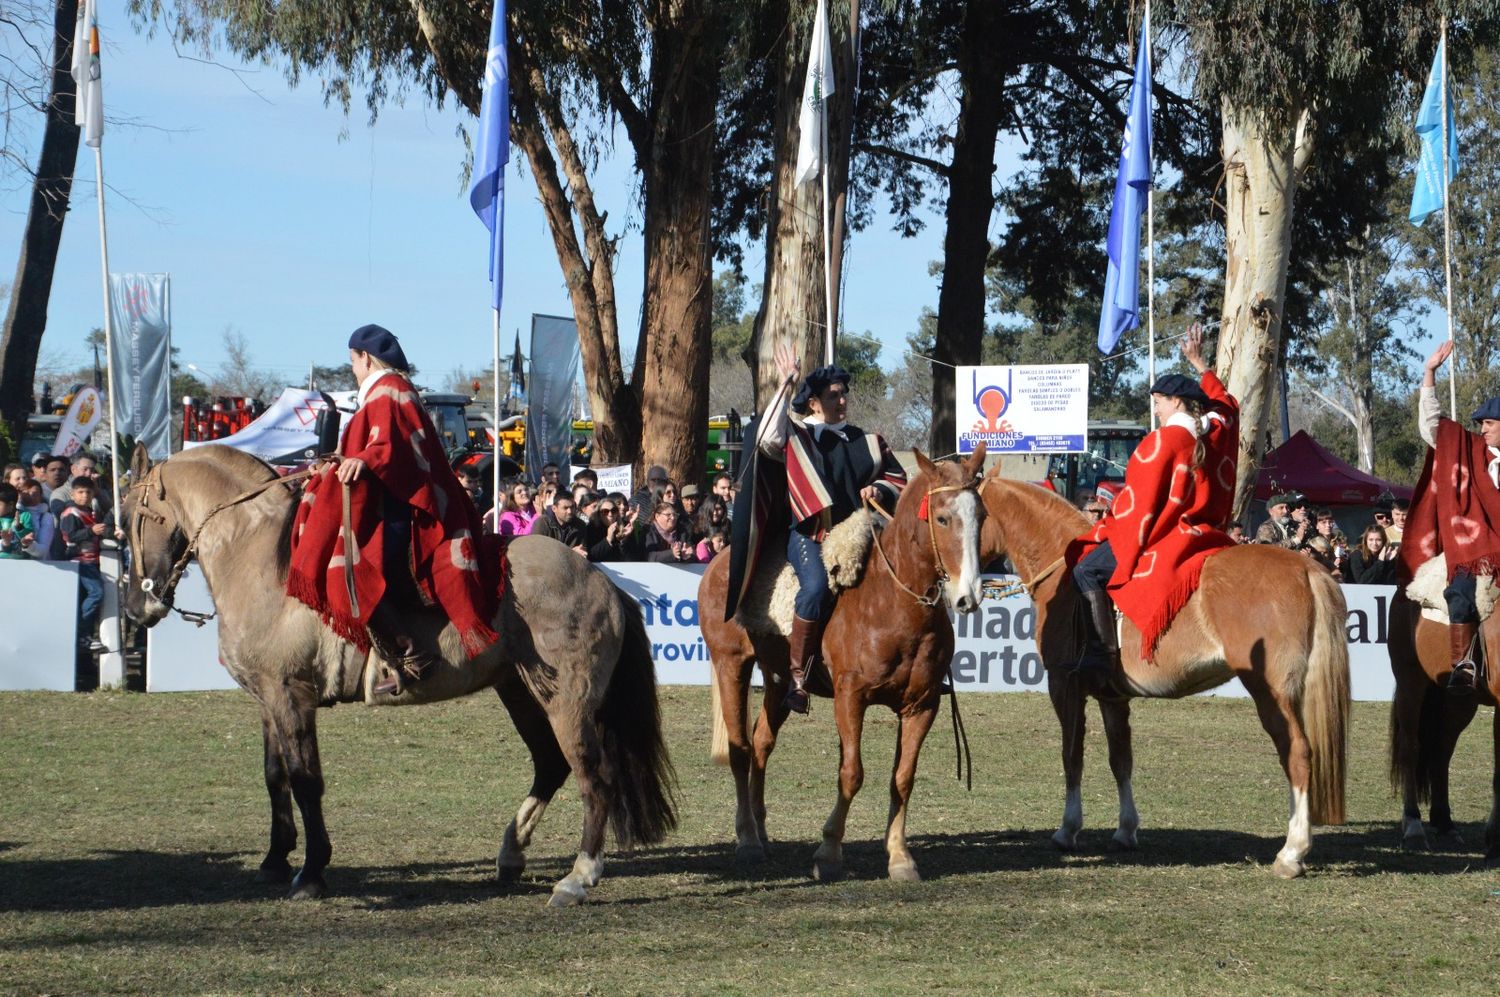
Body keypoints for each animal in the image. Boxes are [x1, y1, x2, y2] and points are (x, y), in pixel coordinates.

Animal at [120, 443, 678, 899]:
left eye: (132, 517)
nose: (135, 609)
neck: (263, 560)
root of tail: (600, 579)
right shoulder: (267, 698)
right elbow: (275, 776)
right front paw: (275, 861)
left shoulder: (290, 695)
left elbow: (304, 780)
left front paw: (312, 872)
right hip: (520, 690)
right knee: (551, 765)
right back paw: (512, 853)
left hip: (569, 701)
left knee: (593, 776)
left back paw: (579, 876)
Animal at [699, 449, 984, 881]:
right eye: (942, 518)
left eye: (981, 514)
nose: (968, 595)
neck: (893, 604)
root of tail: (722, 563)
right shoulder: (850, 699)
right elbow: (851, 774)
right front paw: (829, 853)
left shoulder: (922, 706)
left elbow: (903, 778)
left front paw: (900, 857)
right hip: (731, 665)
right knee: (740, 750)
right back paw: (748, 840)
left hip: (778, 679)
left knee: (762, 743)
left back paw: (761, 831)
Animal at [978, 470, 1356, 875]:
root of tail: (1307, 568)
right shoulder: (1113, 698)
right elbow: (1120, 759)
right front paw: (1125, 831)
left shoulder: (1064, 686)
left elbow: (1072, 755)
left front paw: (1068, 830)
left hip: (1271, 692)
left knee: (1296, 752)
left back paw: (1292, 852)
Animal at [1380, 587, 1500, 857]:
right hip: (1410, 682)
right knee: (1410, 749)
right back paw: (1413, 827)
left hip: (1459, 700)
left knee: (1442, 752)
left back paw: (1445, 823)